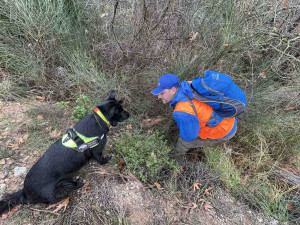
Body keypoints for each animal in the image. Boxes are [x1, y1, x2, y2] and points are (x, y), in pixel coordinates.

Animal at [0, 90, 129, 215]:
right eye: (121, 111)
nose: (129, 114)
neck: (99, 118)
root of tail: (24, 192)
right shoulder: (97, 150)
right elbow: (101, 159)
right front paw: (107, 160)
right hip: (60, 186)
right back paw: (79, 184)